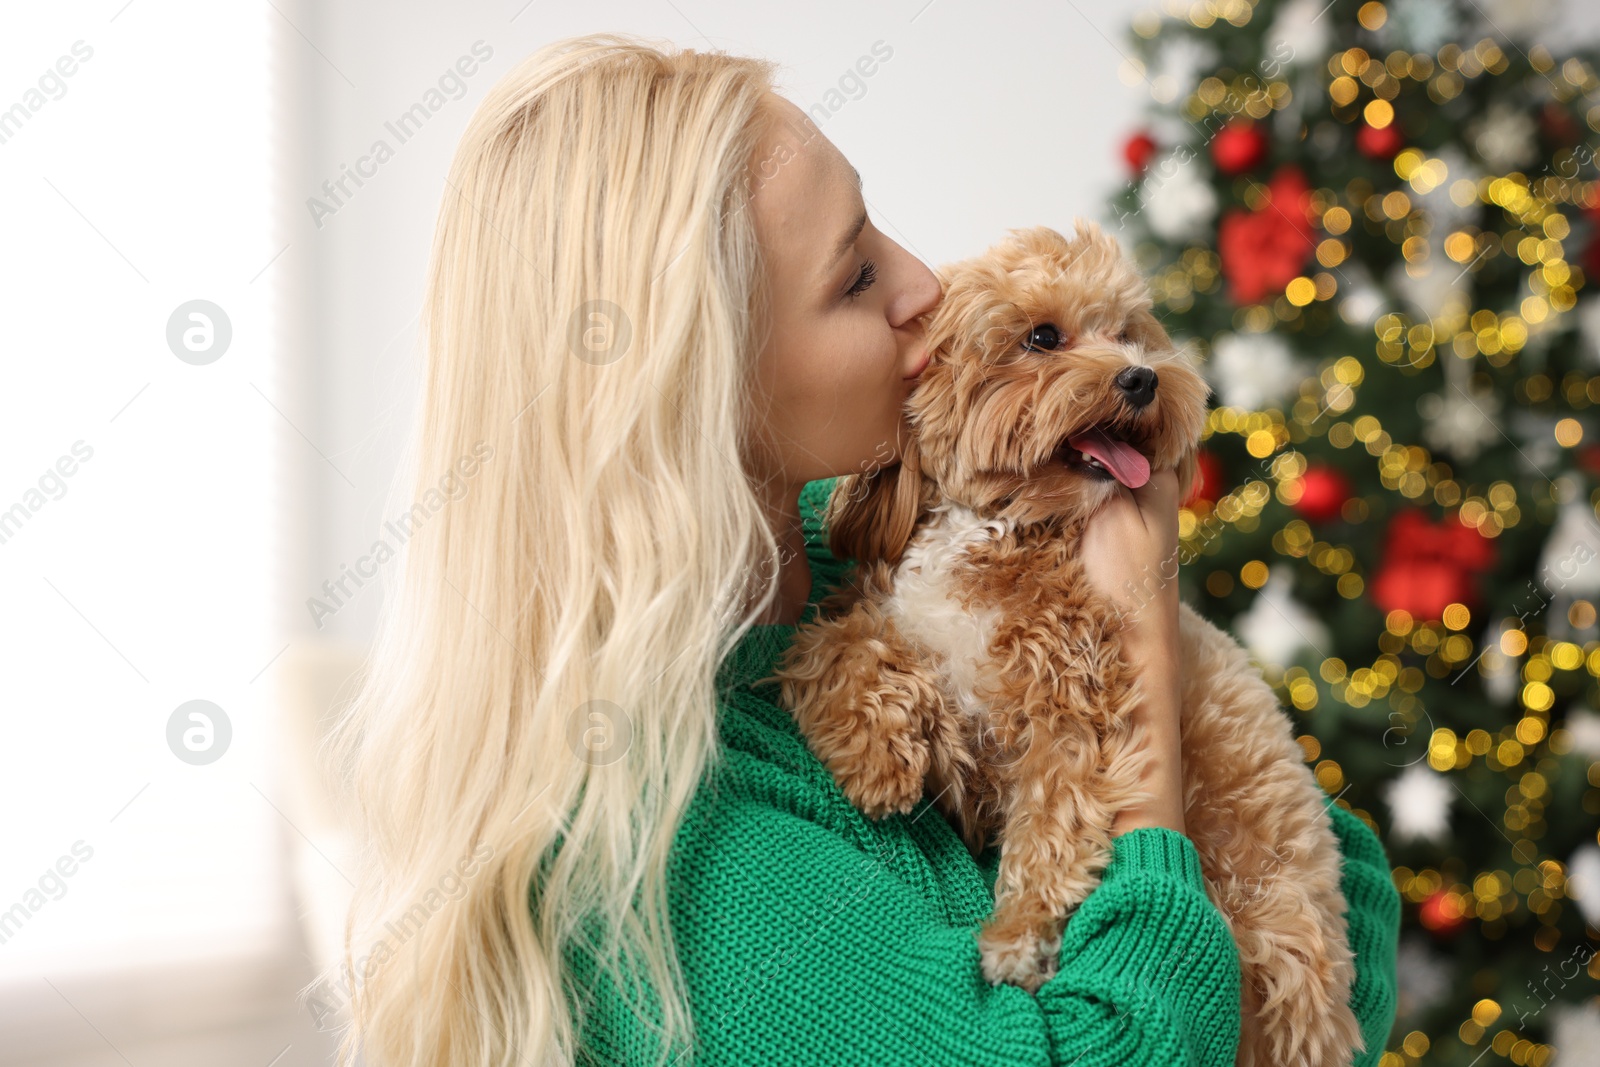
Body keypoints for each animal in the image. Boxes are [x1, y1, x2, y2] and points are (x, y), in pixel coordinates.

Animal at [764, 220, 1363, 1062]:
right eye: (1043, 336)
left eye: (1128, 333)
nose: (1142, 379)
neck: (994, 528)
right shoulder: (930, 682)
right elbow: (823, 645)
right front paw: (872, 753)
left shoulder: (1071, 713)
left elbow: (1052, 831)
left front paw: (1015, 936)